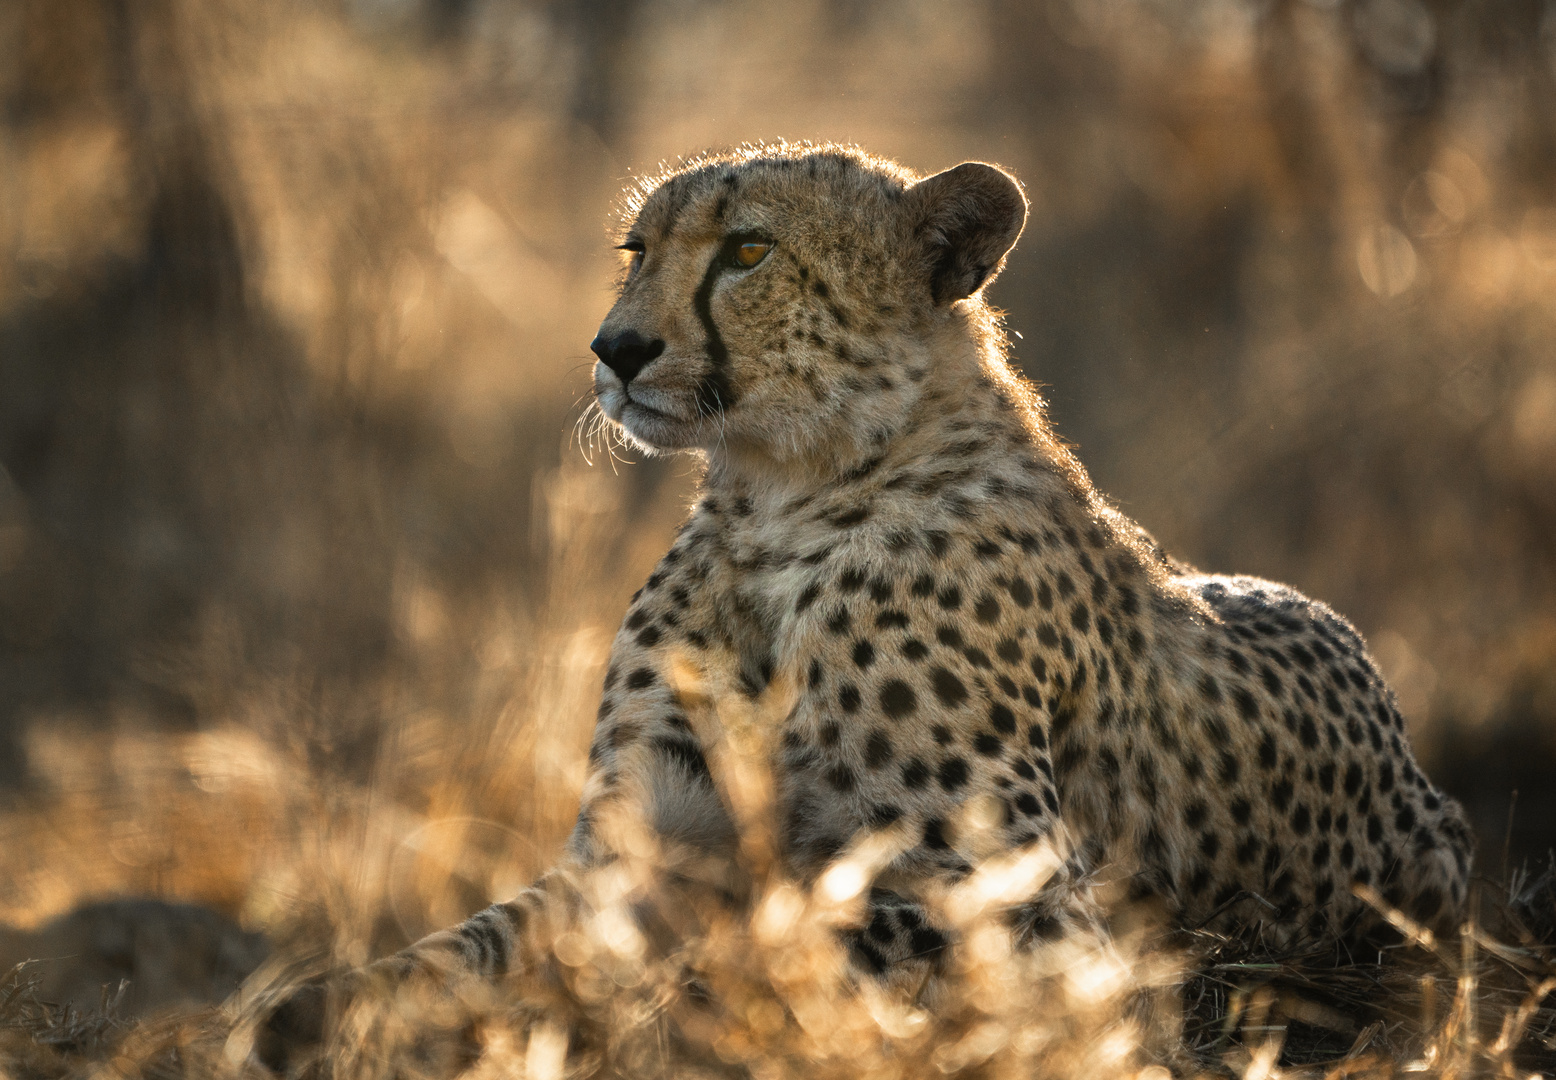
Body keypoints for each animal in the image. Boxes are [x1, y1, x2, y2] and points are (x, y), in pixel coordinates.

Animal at [264, 141, 1468, 1051]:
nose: (615, 348)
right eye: (636, 250)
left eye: (748, 250)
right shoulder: (628, 851)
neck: (779, 501)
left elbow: (775, 944)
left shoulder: (1049, 920)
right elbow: (465, 946)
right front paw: (319, 1006)